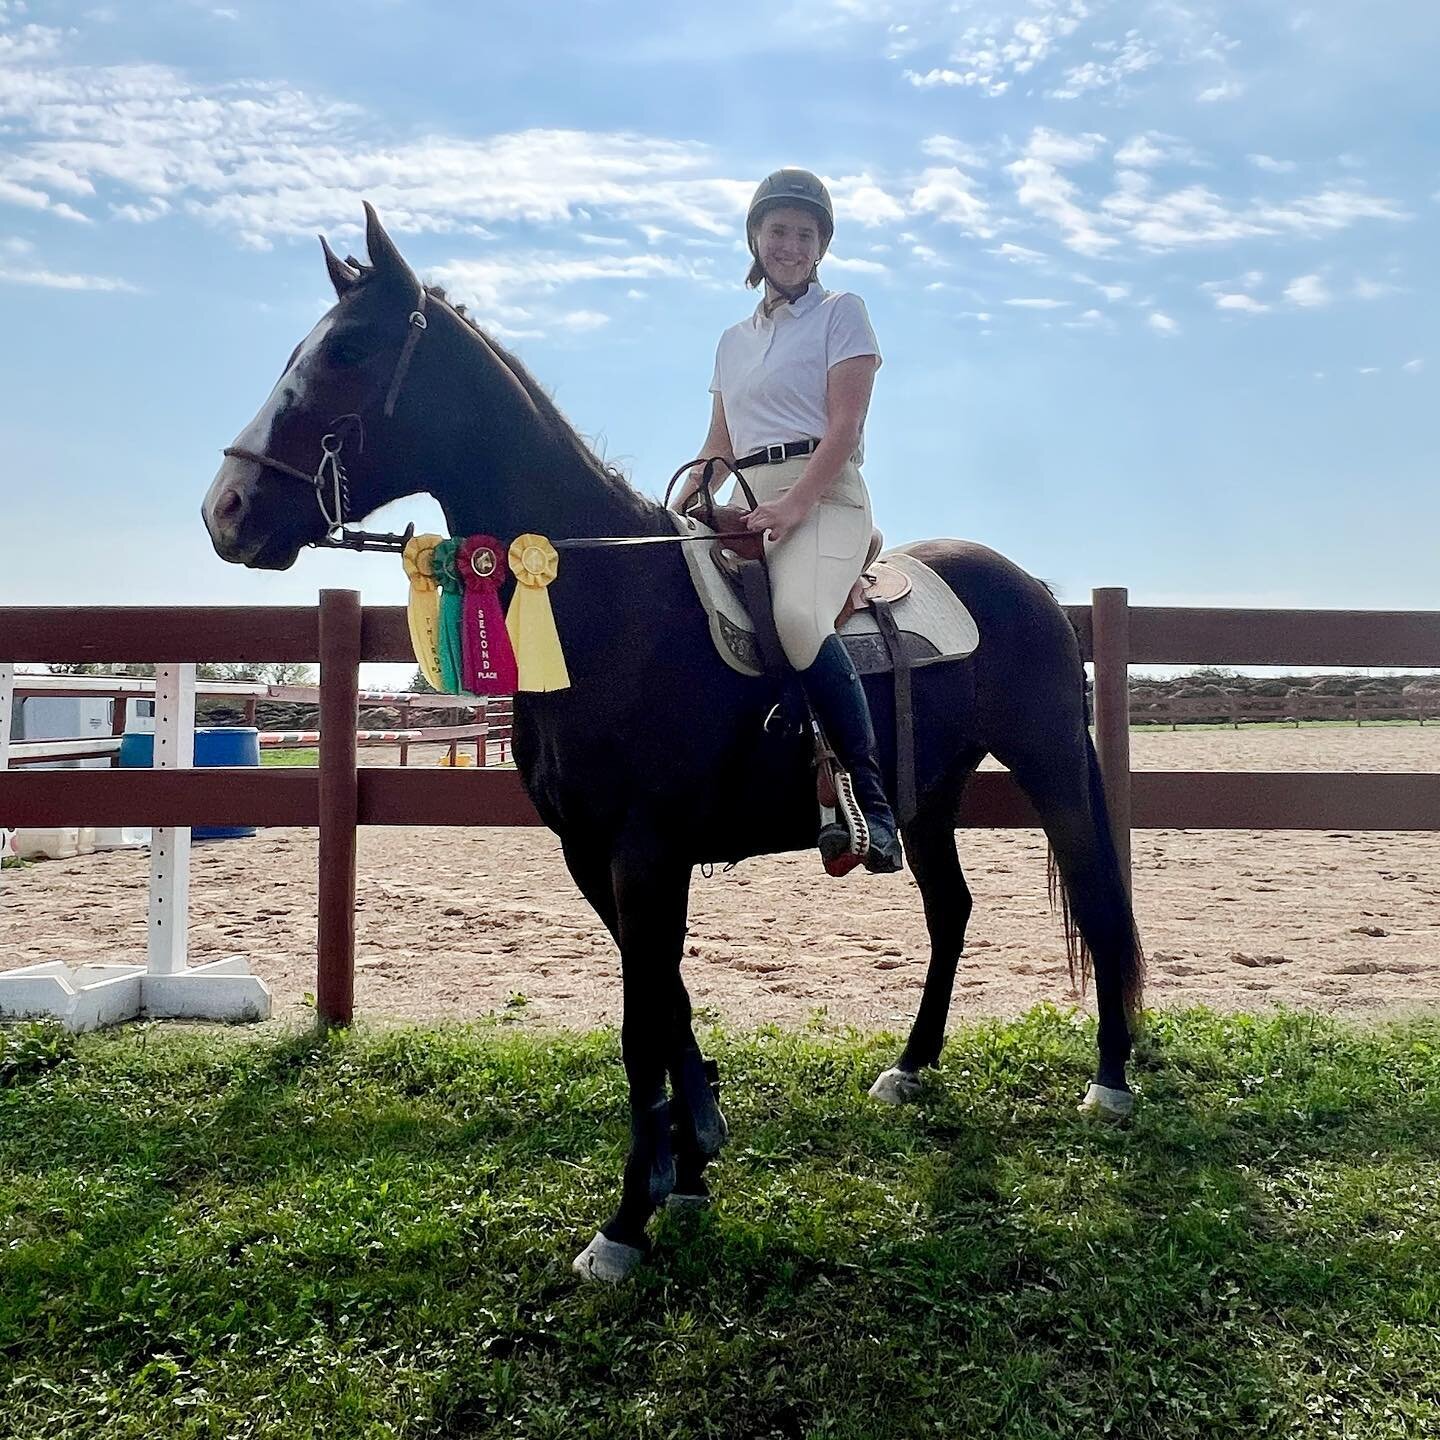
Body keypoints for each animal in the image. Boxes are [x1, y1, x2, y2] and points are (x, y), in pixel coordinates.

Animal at [205, 203, 1146, 1284]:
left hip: (1050, 767)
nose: (227, 510)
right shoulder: (593, 855)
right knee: (951, 911)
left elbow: (639, 1023)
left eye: (349, 350)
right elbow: (671, 1006)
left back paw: (1111, 1081)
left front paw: (625, 1223)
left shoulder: (647, 853)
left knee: (1097, 897)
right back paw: (910, 1068)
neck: (608, 601)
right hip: (929, 797)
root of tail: (1027, 584)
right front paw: (688, 1165)